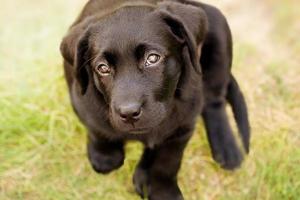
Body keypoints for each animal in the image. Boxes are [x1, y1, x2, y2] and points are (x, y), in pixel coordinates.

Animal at [60, 0, 248, 199]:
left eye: (152, 58)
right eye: (103, 68)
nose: (128, 113)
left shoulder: (183, 124)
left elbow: (167, 159)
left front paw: (161, 189)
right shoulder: (81, 102)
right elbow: (99, 132)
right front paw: (104, 155)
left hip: (218, 28)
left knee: (214, 101)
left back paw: (227, 148)